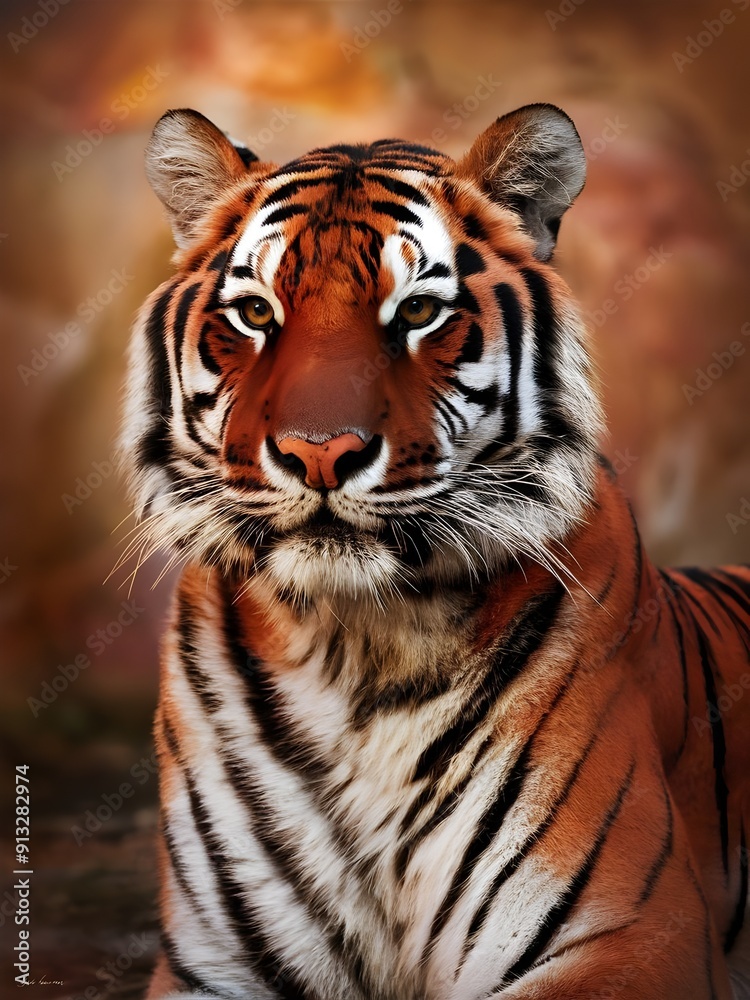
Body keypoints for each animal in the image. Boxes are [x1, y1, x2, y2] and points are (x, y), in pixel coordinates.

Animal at [118, 103, 750, 1000]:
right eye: (256, 314)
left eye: (417, 314)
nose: (319, 452)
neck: (354, 653)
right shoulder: (208, 966)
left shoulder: (631, 934)